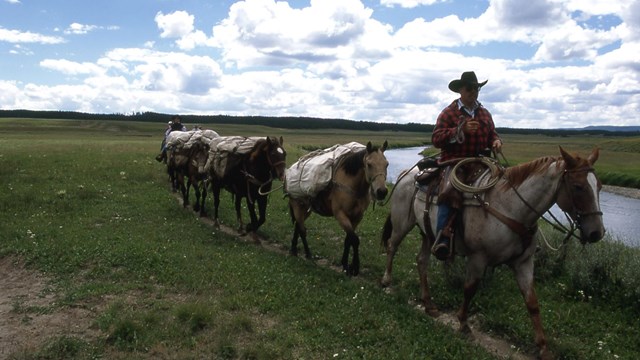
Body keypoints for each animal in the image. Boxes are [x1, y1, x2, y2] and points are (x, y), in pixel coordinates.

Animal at [290, 141, 390, 276]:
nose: (382, 192)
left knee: (298, 225)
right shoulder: (340, 215)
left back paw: (294, 250)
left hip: (306, 209)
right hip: (297, 206)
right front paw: (354, 267)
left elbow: (348, 240)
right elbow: (355, 239)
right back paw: (308, 254)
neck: (352, 186)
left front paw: (346, 265)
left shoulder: (357, 217)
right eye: (369, 164)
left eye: (386, 164)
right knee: (302, 229)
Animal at [380, 147, 604, 360]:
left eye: (599, 186)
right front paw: (463, 324)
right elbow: (469, 289)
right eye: (578, 187)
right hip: (402, 224)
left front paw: (543, 348)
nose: (597, 232)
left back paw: (428, 304)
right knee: (392, 247)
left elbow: (532, 303)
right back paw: (386, 281)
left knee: (421, 261)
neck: (511, 207)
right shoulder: (478, 258)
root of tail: (407, 175)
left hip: (427, 234)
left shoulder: (524, 263)